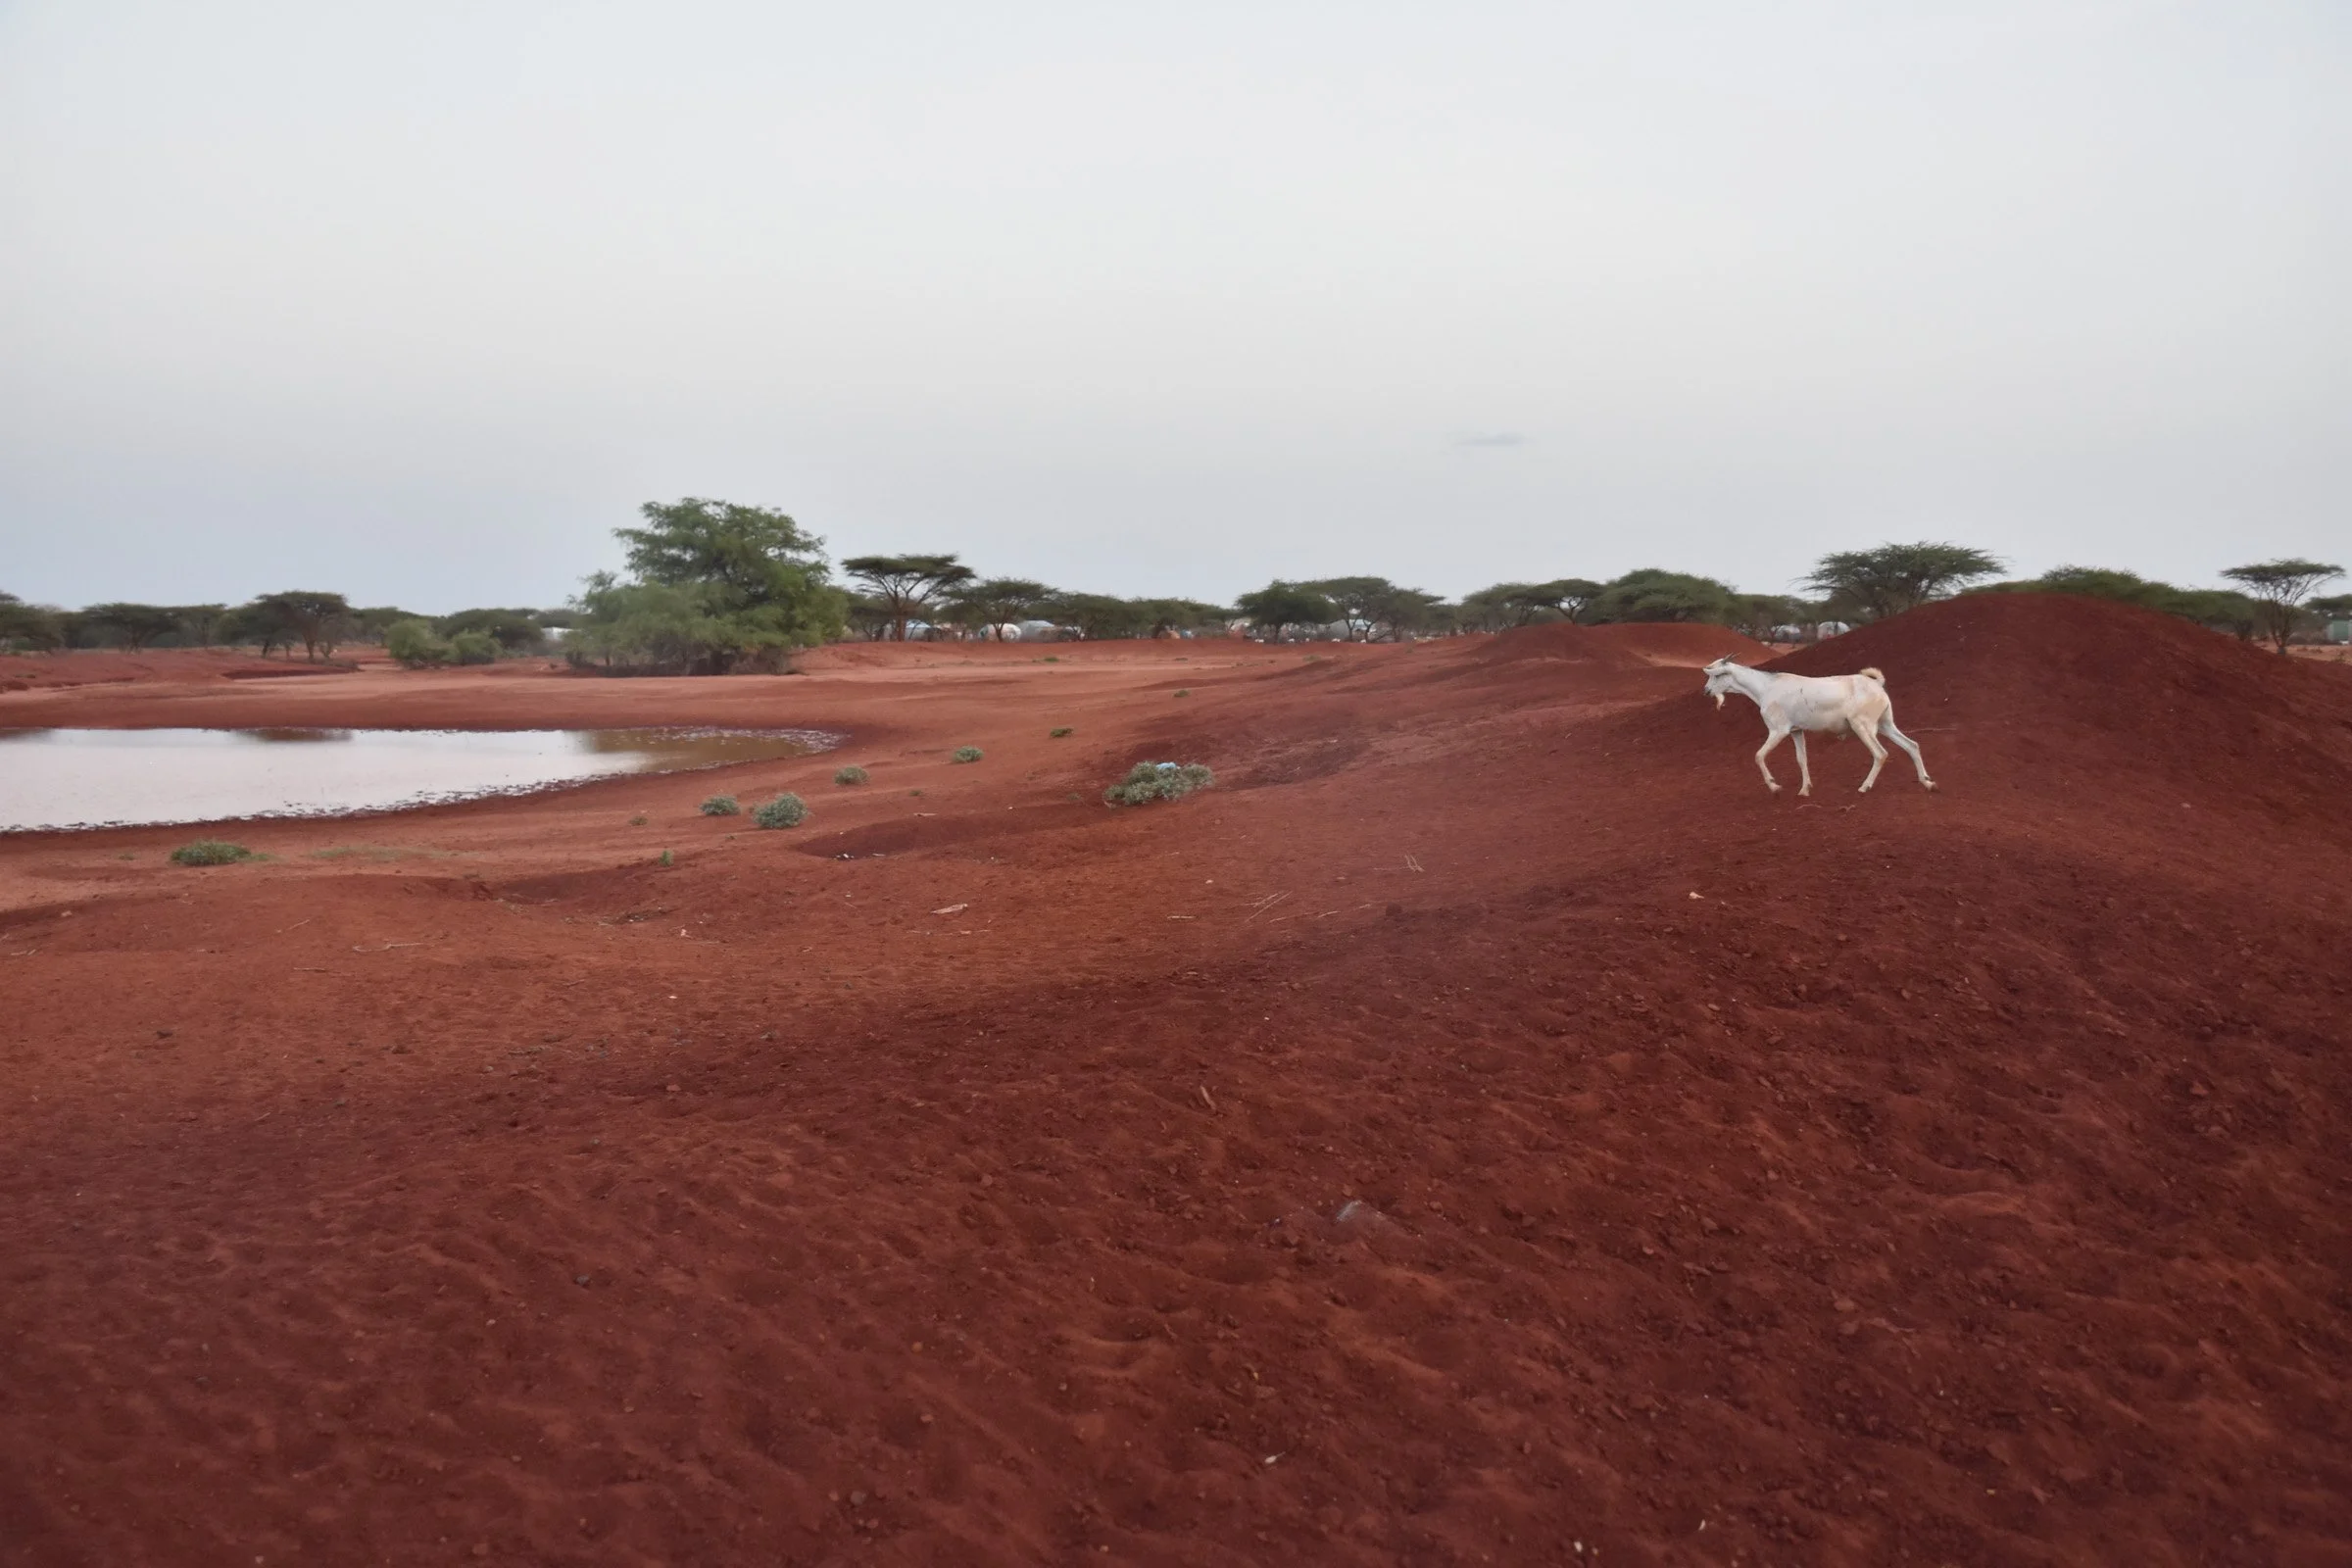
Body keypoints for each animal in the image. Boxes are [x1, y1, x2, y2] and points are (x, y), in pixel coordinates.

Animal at [1701, 658, 1935, 796]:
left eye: (1717, 675)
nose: (1706, 691)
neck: (1766, 687)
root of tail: (1877, 684)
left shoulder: (1778, 731)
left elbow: (1759, 755)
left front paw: (1774, 786)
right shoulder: (1796, 732)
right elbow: (1801, 759)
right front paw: (1805, 789)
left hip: (1863, 726)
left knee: (1880, 753)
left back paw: (1865, 786)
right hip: (1885, 724)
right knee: (1911, 745)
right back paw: (1927, 782)